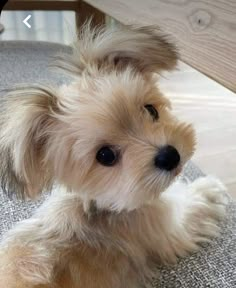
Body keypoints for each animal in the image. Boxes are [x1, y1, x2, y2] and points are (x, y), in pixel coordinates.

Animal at [0, 23, 229, 286]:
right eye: (105, 156)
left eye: (151, 110)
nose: (170, 156)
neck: (102, 208)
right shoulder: (172, 229)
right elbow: (195, 205)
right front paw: (208, 188)